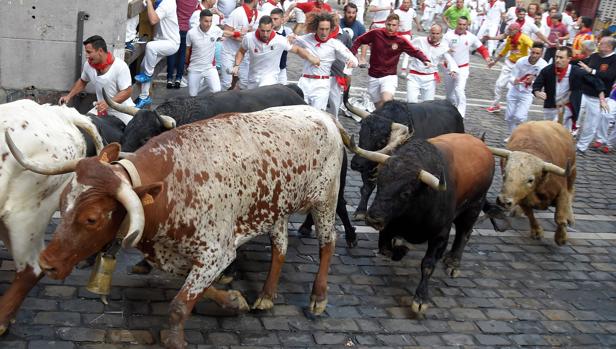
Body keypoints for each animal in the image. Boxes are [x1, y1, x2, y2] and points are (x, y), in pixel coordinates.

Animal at [9, 105, 344, 348]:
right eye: (62, 202)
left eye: (92, 218)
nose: (46, 263)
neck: (173, 183)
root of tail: (321, 114)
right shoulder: (178, 256)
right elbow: (200, 290)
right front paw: (234, 301)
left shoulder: (216, 254)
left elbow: (179, 305)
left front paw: (174, 338)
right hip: (277, 208)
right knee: (280, 246)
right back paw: (266, 295)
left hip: (325, 200)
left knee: (328, 243)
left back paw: (318, 298)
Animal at [342, 129, 496, 316]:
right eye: (380, 182)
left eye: (406, 193)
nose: (373, 218)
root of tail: (481, 144)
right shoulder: (389, 226)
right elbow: (385, 249)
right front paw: (401, 250)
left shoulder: (440, 235)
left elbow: (428, 264)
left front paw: (421, 299)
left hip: (474, 207)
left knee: (464, 233)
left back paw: (453, 262)